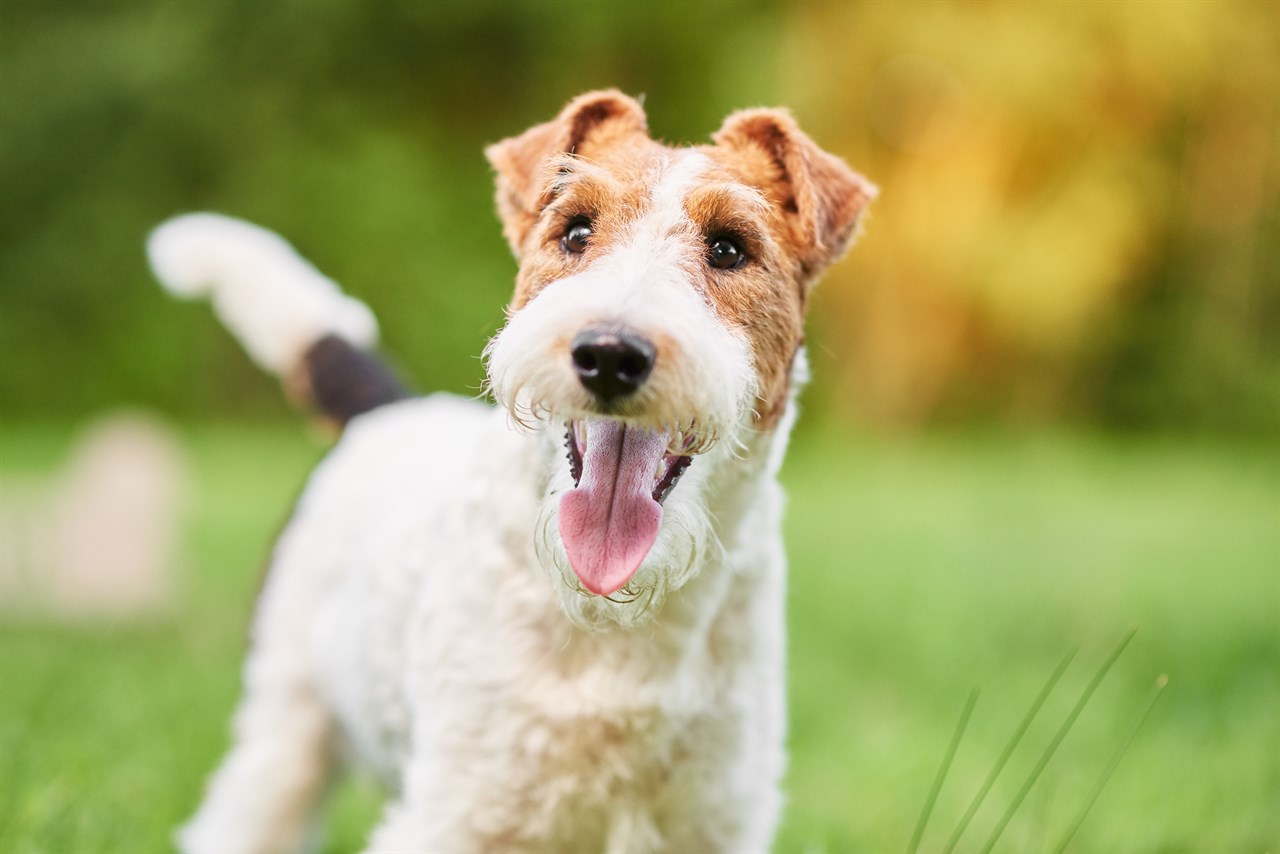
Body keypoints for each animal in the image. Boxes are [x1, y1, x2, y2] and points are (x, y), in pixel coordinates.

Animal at [147, 92, 870, 854]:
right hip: (287, 721)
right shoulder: (459, 813)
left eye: (730, 247)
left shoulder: (713, 820)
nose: (609, 354)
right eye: (576, 230)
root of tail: (385, 410)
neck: (615, 617)